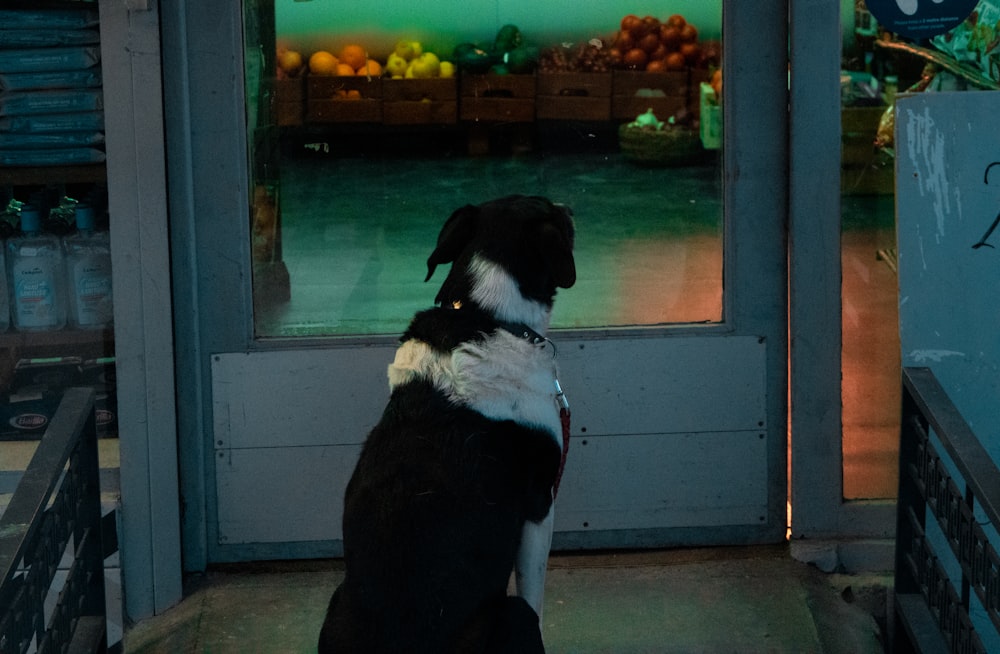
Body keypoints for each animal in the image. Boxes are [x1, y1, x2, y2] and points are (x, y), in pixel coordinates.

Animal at [316, 196, 576, 654]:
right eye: (553, 212)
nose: (570, 207)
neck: (485, 314)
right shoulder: (540, 504)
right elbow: (536, 593)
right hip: (512, 616)